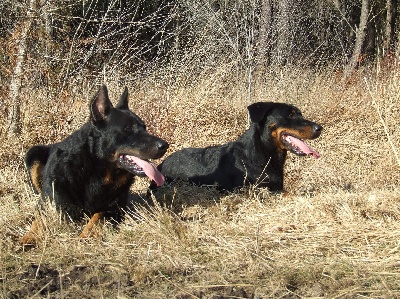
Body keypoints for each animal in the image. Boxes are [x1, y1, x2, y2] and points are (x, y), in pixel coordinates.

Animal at [21, 85, 168, 246]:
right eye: (128, 129)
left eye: (144, 127)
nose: (165, 146)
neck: (96, 172)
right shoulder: (47, 204)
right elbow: (39, 221)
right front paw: (29, 237)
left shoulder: (115, 209)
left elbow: (97, 217)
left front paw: (87, 236)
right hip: (33, 153)